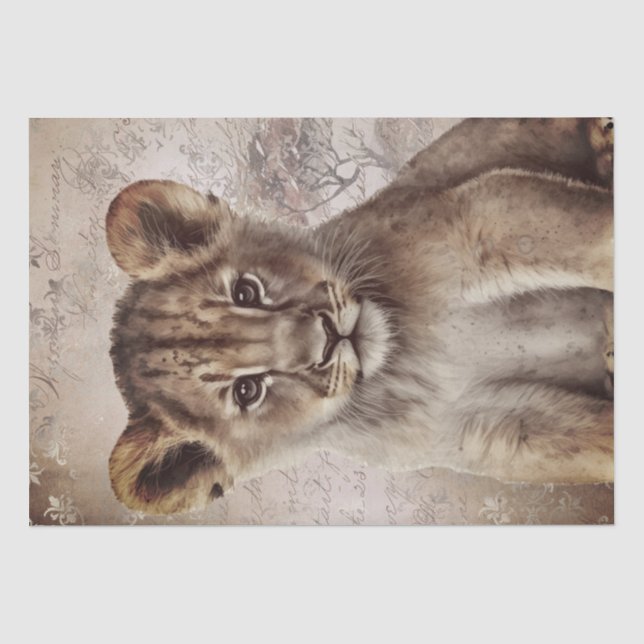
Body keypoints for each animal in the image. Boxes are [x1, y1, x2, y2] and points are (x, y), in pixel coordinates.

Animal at [105, 118, 614, 515]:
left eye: (246, 291)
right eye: (247, 391)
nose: (329, 337)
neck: (403, 354)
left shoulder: (479, 218)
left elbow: (595, 238)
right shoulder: (494, 427)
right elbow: (596, 444)